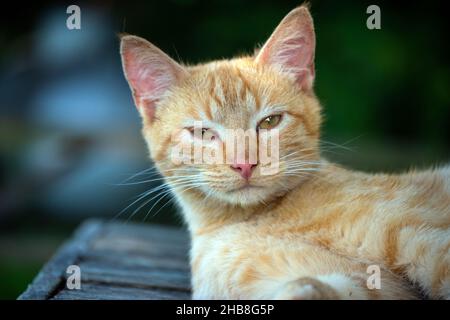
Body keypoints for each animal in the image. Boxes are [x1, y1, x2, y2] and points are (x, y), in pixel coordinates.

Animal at [118, 5, 446, 300]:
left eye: (270, 122)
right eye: (202, 133)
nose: (244, 164)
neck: (251, 221)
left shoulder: (425, 238)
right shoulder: (364, 285)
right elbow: (316, 287)